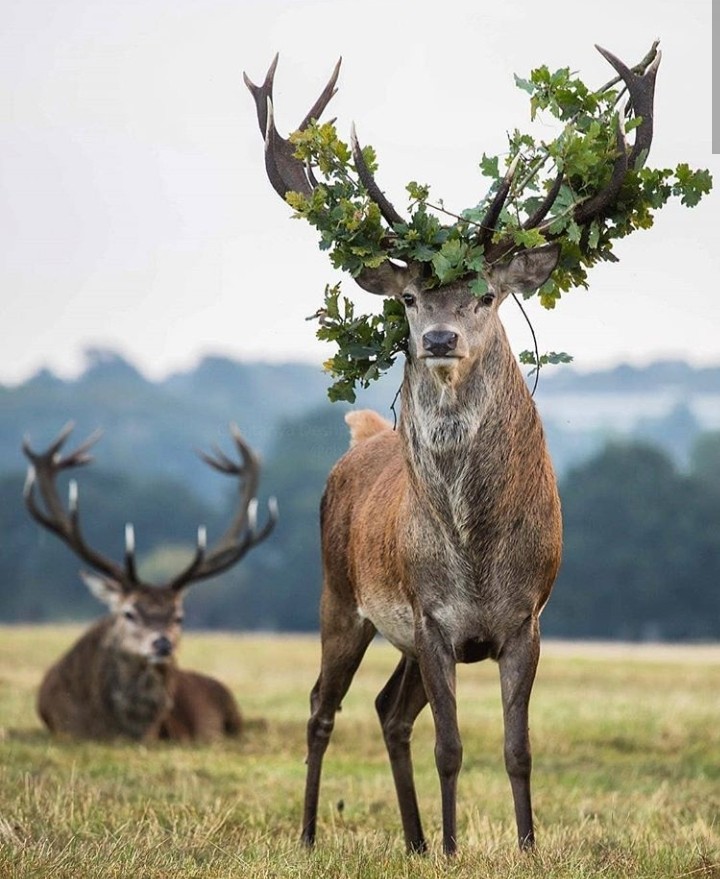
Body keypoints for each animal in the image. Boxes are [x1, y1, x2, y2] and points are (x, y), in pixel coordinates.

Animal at [245, 44, 659, 853]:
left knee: (386, 710)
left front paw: (525, 845)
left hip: (395, 633)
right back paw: (309, 834)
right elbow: (451, 745)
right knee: (321, 706)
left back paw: (408, 840)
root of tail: (361, 437)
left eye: (487, 294)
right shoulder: (431, 616)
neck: (475, 551)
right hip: (341, 595)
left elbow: (516, 747)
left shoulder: (525, 619)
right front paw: (453, 845)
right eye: (409, 299)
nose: (438, 338)